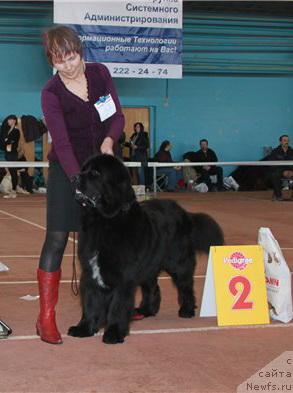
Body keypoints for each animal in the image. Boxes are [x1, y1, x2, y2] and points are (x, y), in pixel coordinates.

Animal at [67, 155, 222, 342]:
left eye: (95, 173)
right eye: (83, 169)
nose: (74, 177)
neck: (104, 221)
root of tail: (183, 212)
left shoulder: (123, 277)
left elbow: (118, 305)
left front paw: (114, 333)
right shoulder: (90, 272)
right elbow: (90, 302)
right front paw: (84, 328)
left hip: (178, 262)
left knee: (185, 285)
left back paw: (187, 310)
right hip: (149, 265)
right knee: (152, 287)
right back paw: (146, 310)